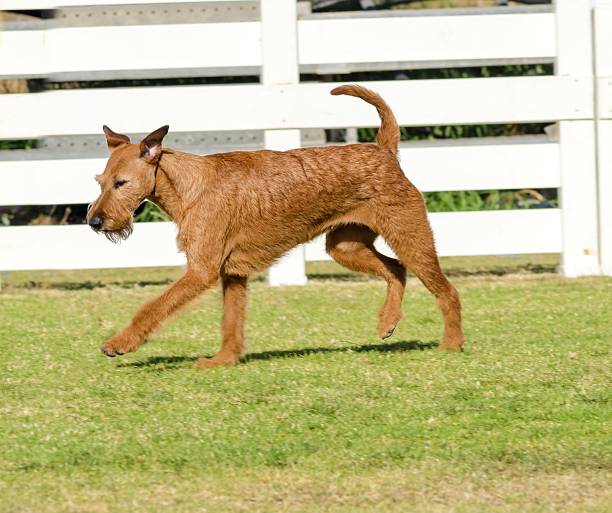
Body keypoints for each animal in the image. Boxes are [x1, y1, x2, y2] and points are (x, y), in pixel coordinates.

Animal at [87, 87, 464, 368]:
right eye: (100, 182)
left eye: (121, 183)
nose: (93, 221)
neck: (189, 186)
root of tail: (385, 150)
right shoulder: (231, 274)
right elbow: (230, 322)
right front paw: (223, 360)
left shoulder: (201, 271)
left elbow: (152, 307)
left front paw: (119, 343)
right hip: (346, 246)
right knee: (396, 270)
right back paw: (388, 322)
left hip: (410, 236)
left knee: (446, 291)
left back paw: (451, 344)